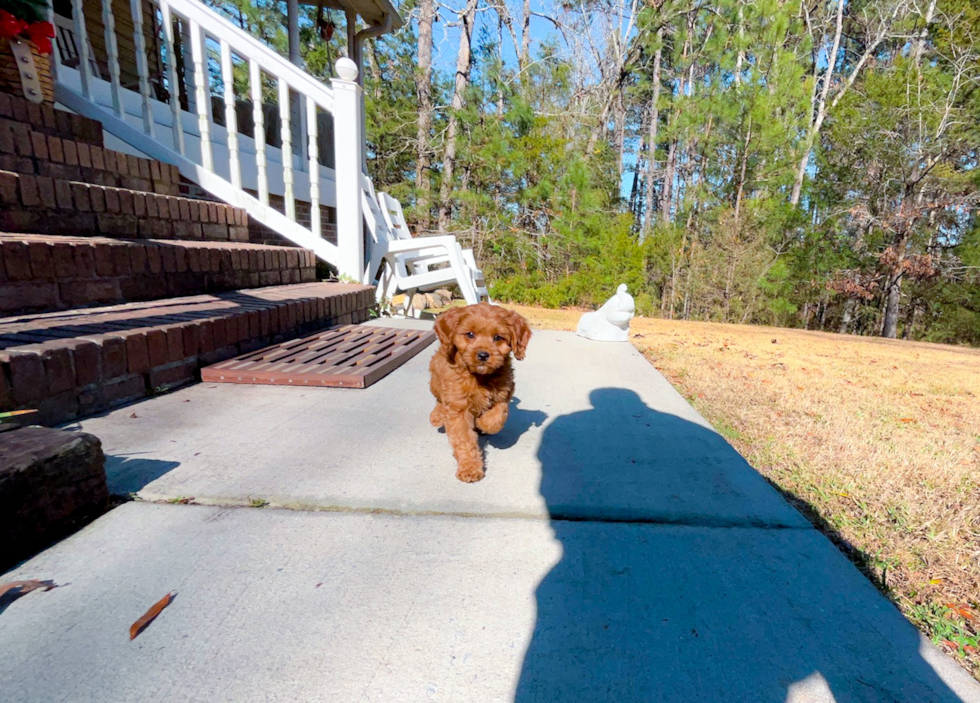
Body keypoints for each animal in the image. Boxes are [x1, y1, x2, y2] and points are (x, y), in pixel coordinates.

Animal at [428, 302, 532, 484]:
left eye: (498, 337)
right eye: (470, 334)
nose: (483, 355)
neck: (480, 376)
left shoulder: (504, 391)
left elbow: (497, 415)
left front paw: (483, 423)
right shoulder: (458, 407)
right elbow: (464, 439)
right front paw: (469, 468)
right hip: (435, 379)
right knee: (439, 398)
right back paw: (437, 416)